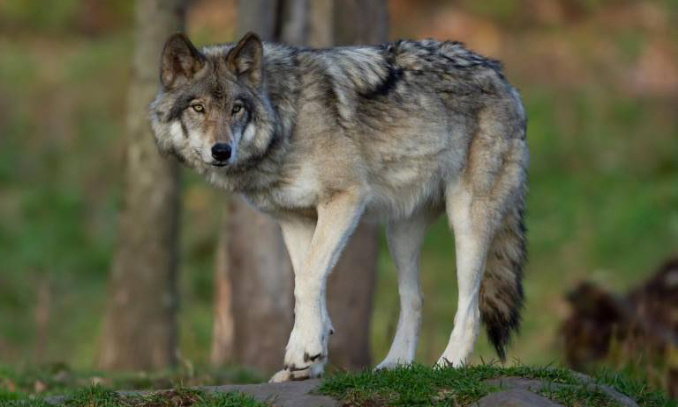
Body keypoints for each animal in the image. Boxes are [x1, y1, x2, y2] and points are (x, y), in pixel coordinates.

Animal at [150, 31, 528, 382]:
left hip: (467, 223)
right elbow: (308, 281)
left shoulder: (346, 199)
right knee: (414, 299)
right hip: (399, 234)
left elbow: (308, 280)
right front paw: (309, 358)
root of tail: (502, 77)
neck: (288, 119)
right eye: (198, 108)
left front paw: (302, 351)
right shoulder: (295, 220)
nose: (221, 151)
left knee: (470, 307)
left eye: (236, 108)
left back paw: (448, 364)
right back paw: (395, 365)